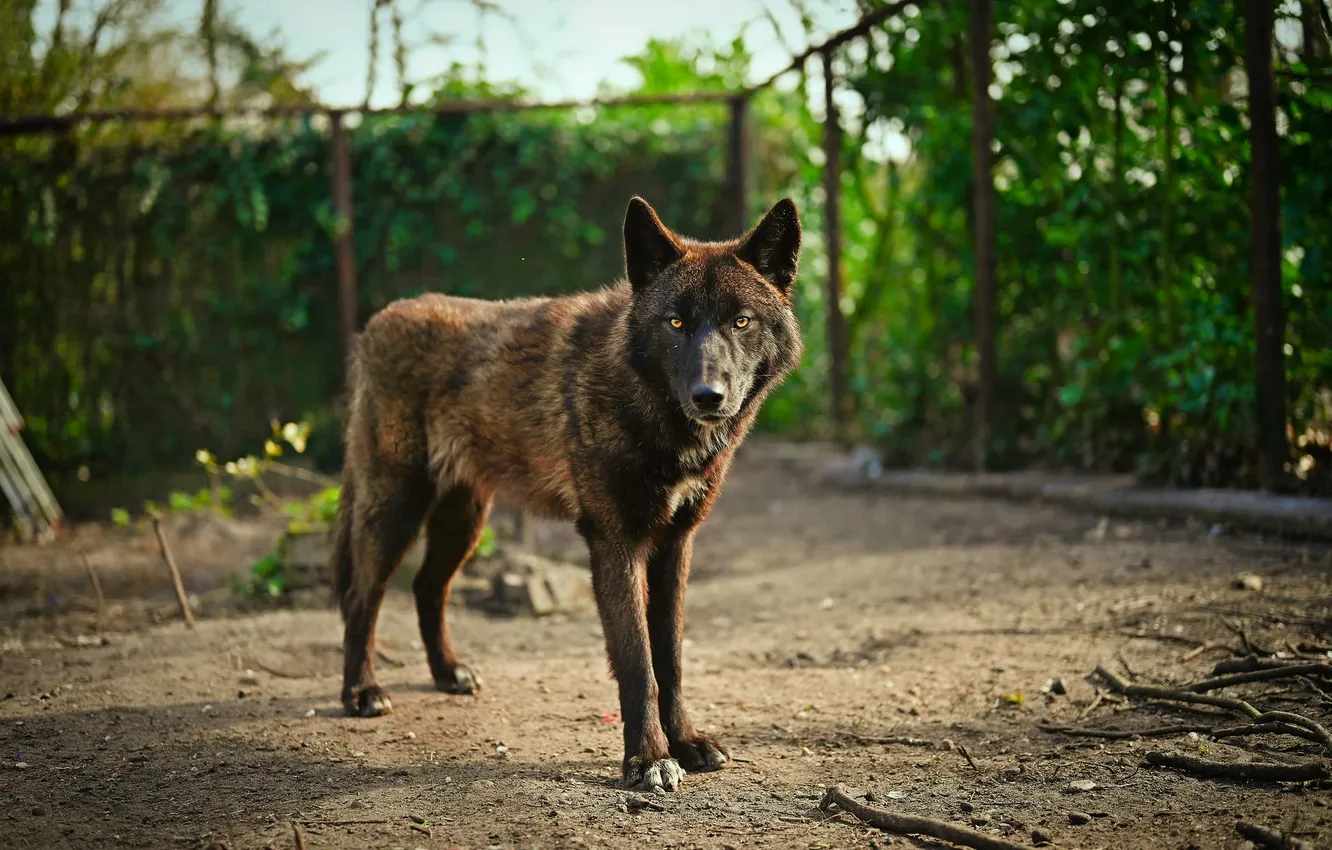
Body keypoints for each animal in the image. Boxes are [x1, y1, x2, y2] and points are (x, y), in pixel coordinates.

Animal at [332, 195, 803, 792]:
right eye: (675, 322)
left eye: (741, 322)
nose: (709, 396)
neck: (649, 407)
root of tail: (376, 323)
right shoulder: (614, 542)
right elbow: (638, 663)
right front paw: (648, 760)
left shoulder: (675, 545)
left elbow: (670, 658)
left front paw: (687, 744)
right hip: (396, 509)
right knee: (361, 597)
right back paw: (361, 692)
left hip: (464, 520)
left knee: (426, 588)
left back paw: (448, 673)